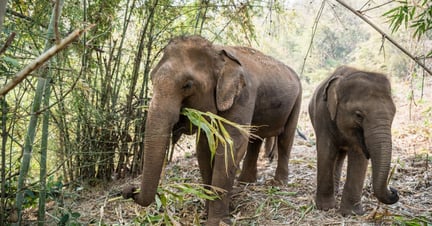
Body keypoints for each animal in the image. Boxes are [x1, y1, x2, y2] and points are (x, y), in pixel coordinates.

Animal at [123, 35, 302, 224]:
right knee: (255, 139)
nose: (129, 191)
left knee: (286, 138)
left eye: (187, 85)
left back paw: (278, 184)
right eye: (151, 78)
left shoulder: (243, 95)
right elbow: (204, 148)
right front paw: (206, 213)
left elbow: (231, 146)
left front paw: (217, 221)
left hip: (298, 99)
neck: (217, 52)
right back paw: (245, 182)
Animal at [308, 66, 400, 215]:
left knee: (340, 155)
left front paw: (352, 213)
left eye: (394, 114)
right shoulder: (322, 115)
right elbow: (326, 150)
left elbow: (358, 156)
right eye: (358, 115)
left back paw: (337, 191)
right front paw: (325, 208)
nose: (393, 191)